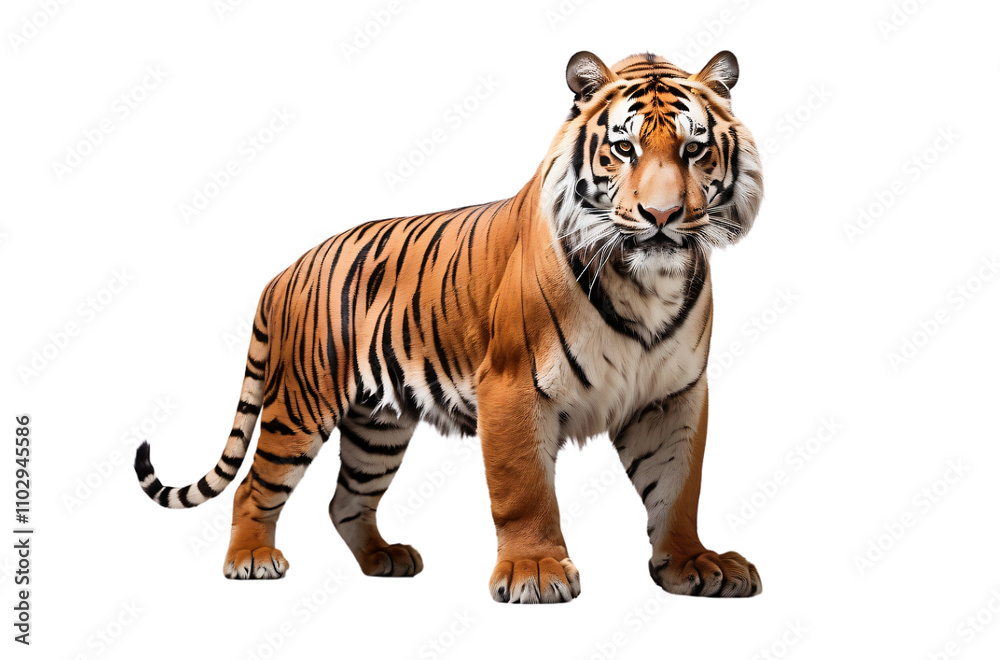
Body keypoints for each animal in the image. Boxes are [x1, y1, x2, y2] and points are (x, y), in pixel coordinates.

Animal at [135, 49, 764, 603]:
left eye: (694, 148)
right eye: (624, 148)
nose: (662, 216)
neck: (647, 284)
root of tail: (285, 271)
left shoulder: (673, 394)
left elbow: (677, 488)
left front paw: (692, 564)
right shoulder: (513, 385)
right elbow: (524, 488)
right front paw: (535, 571)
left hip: (378, 426)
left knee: (346, 501)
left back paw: (385, 559)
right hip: (300, 404)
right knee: (253, 487)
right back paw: (251, 560)